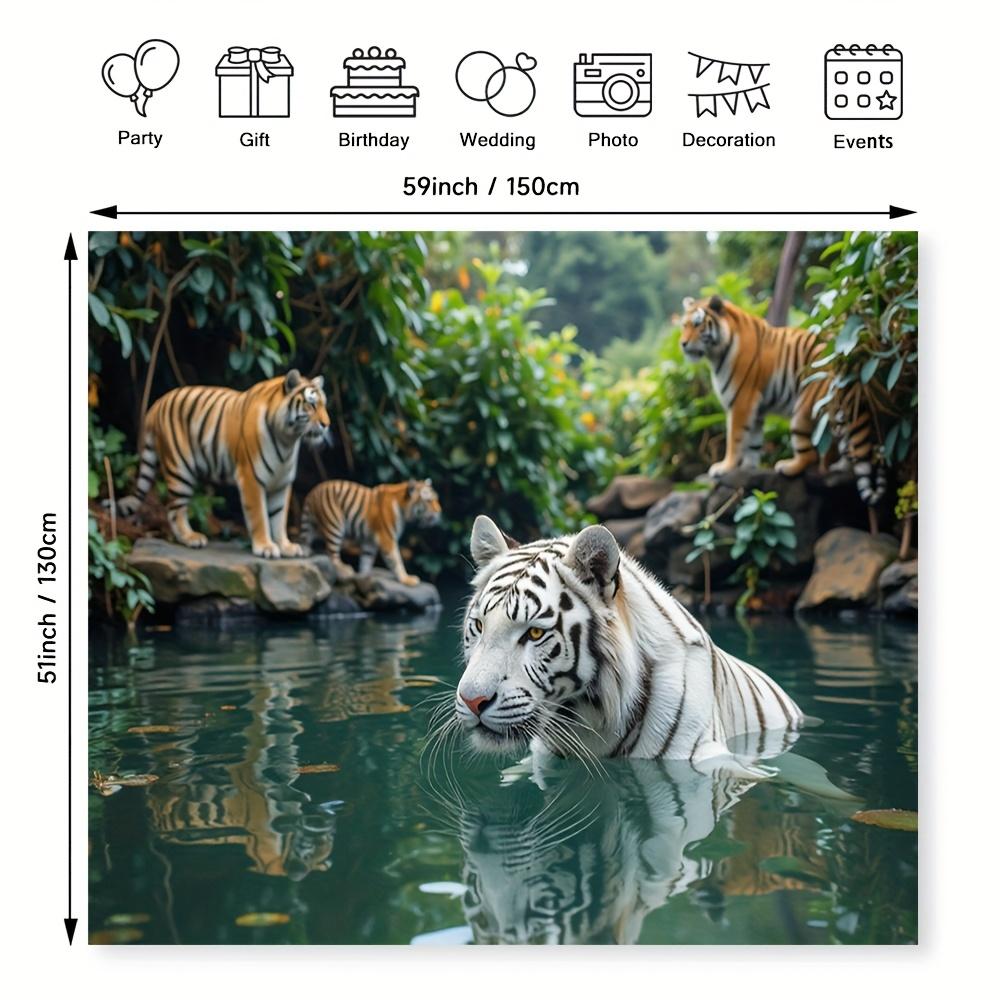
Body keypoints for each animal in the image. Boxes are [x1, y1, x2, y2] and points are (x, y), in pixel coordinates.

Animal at [118, 369, 329, 558]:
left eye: (324, 405)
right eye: (311, 404)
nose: (326, 424)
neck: (288, 440)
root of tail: (156, 403)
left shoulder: (281, 482)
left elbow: (278, 517)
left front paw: (286, 547)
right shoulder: (251, 478)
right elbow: (260, 516)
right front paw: (265, 547)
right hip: (180, 470)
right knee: (174, 510)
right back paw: (191, 538)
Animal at [300, 478, 442, 586]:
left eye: (436, 499)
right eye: (429, 501)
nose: (439, 511)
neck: (403, 506)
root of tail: (312, 493)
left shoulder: (369, 541)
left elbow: (366, 559)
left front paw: (363, 577)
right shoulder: (387, 538)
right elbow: (396, 560)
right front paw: (407, 579)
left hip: (314, 527)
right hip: (335, 525)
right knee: (332, 554)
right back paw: (345, 571)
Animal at [679, 295, 886, 506]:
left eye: (697, 324)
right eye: (684, 325)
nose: (683, 343)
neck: (717, 353)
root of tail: (851, 364)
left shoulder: (742, 401)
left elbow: (734, 437)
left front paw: (725, 467)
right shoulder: (756, 410)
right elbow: (753, 442)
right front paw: (748, 468)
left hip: (804, 408)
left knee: (810, 454)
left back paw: (787, 467)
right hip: (840, 411)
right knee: (850, 446)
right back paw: (839, 468)